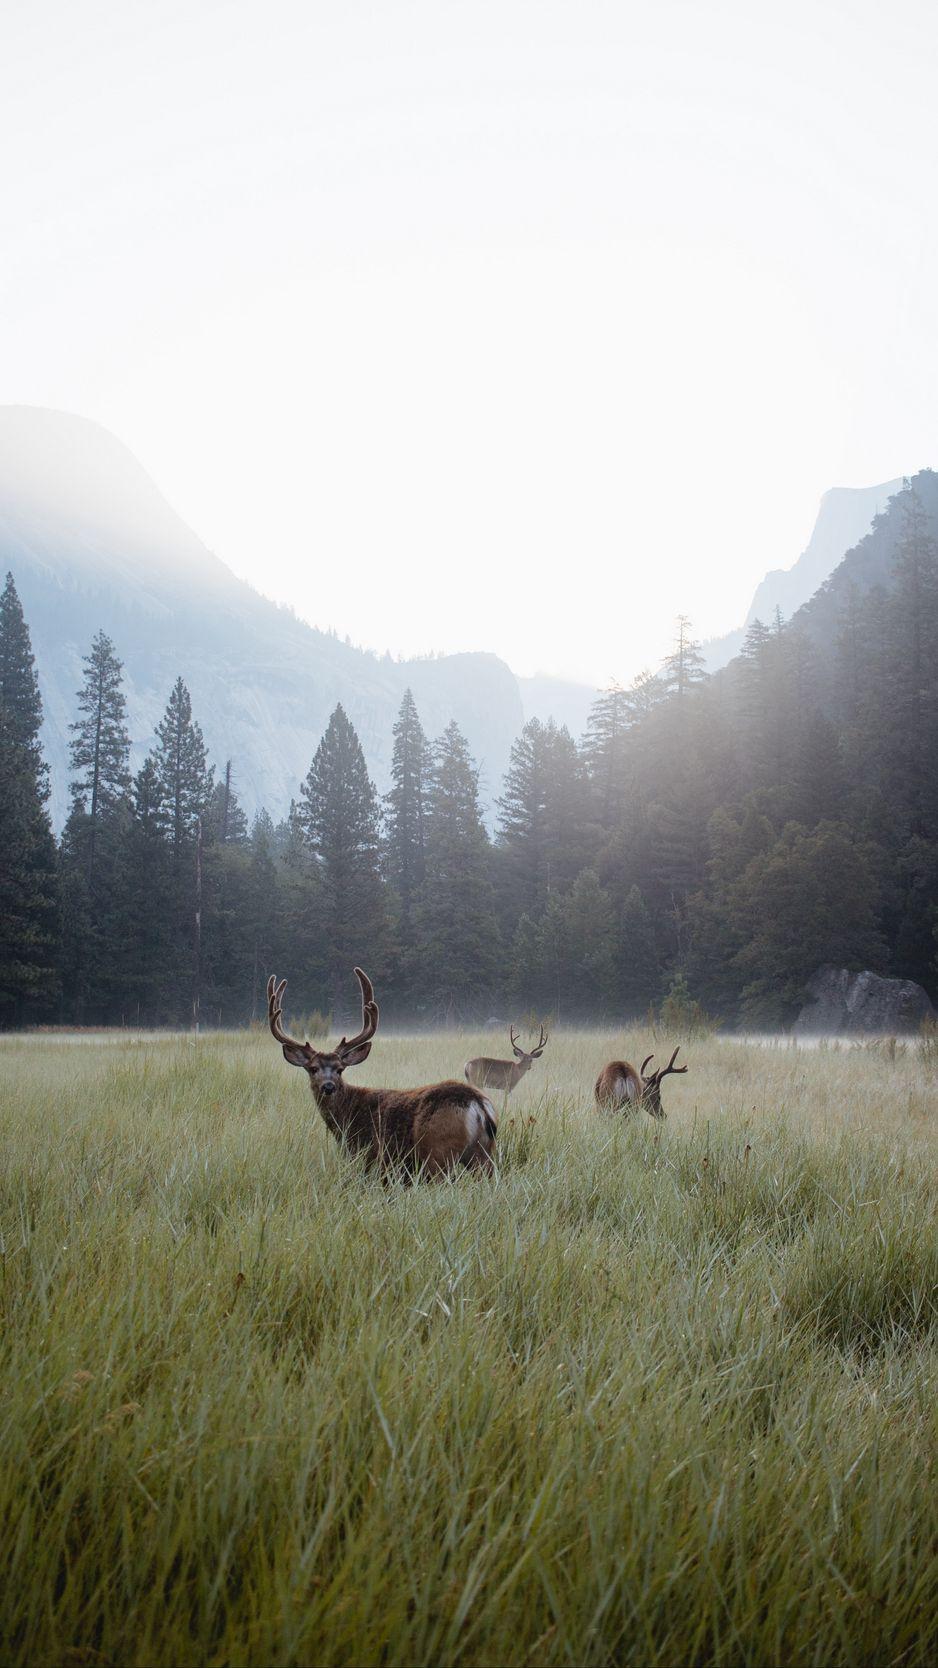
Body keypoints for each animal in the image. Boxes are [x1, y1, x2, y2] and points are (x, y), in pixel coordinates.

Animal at [267, 967, 497, 1179]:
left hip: (438, 1152)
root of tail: (478, 1105)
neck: (346, 1117)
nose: (328, 1086)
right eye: (313, 1068)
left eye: (340, 1069)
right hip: (483, 1155)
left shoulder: (370, 1156)